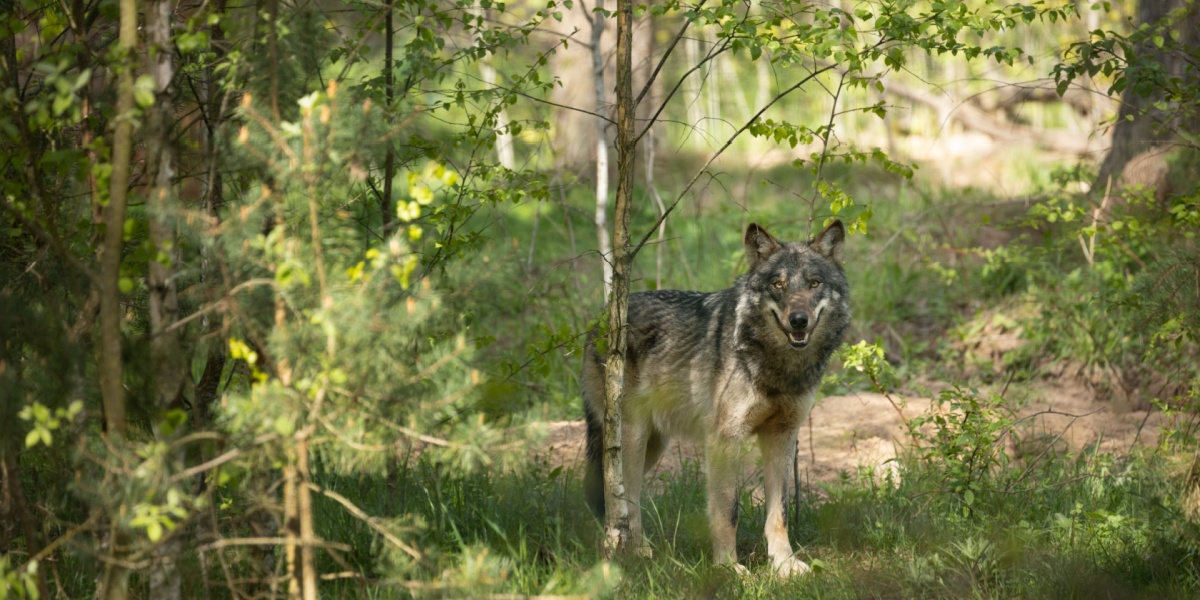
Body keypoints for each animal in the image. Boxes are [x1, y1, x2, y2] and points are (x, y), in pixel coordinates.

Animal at [582, 220, 850, 576]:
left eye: (814, 283)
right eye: (778, 284)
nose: (798, 320)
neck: (777, 367)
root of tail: (601, 317)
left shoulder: (781, 437)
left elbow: (779, 512)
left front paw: (784, 565)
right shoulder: (724, 440)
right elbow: (728, 512)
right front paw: (729, 568)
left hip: (654, 445)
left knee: (626, 495)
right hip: (631, 439)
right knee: (621, 497)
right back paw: (627, 551)